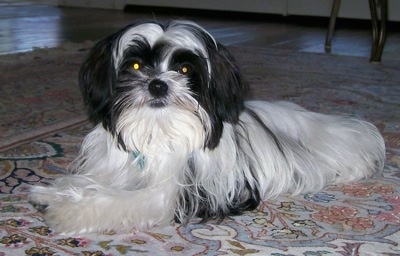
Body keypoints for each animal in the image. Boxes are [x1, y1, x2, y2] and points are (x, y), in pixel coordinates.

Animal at [29, 20, 386, 234]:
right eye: (136, 65)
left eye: (185, 70)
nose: (158, 84)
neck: (156, 131)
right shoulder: (114, 168)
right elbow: (89, 182)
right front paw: (50, 192)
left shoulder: (170, 195)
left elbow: (116, 200)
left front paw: (67, 212)